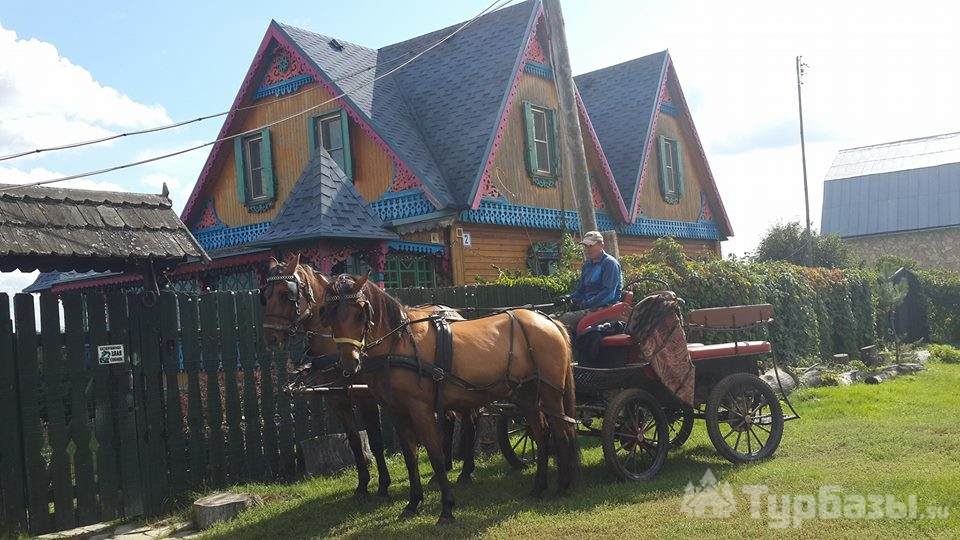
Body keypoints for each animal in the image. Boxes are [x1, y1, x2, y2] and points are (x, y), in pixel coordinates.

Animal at [260, 256, 478, 498]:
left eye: (285, 294)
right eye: (265, 295)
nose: (270, 337)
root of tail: (452, 313)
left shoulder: (366, 398)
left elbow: (374, 439)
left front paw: (383, 484)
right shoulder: (337, 400)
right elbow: (355, 440)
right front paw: (363, 484)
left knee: (468, 419)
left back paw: (466, 470)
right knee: (449, 418)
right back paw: (445, 467)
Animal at [320, 274, 576, 524]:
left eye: (360, 313)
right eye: (329, 313)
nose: (349, 363)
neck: (399, 344)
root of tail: (549, 321)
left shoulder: (421, 410)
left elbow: (435, 455)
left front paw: (446, 508)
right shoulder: (397, 412)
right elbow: (410, 457)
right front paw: (413, 503)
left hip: (551, 393)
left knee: (561, 433)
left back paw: (562, 487)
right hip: (527, 395)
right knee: (541, 435)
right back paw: (539, 487)